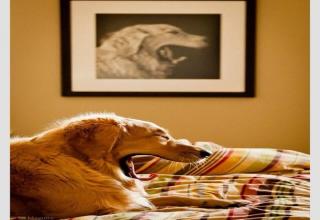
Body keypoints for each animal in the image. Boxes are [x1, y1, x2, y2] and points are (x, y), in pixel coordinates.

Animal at [11, 113, 244, 218]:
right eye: (162, 136)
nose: (206, 153)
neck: (81, 164)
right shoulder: (105, 208)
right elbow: (165, 207)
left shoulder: (130, 196)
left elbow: (175, 197)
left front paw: (222, 202)